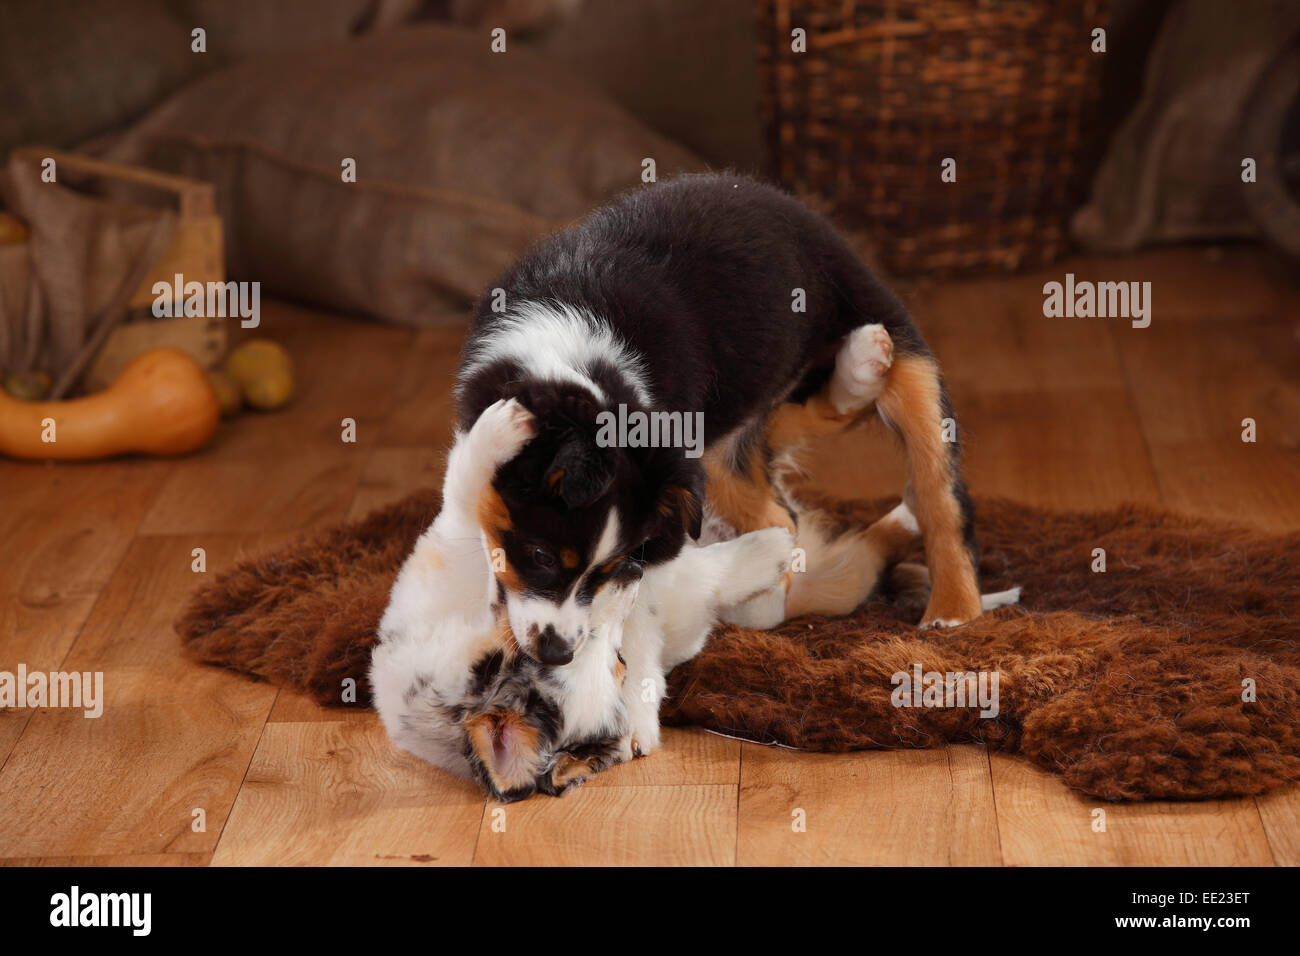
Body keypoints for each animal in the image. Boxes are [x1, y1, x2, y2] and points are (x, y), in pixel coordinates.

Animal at [454, 171, 982, 671]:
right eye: (541, 554)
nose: (556, 652)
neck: (577, 359)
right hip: (722, 442)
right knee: (782, 500)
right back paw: (859, 371)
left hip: (894, 346)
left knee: (936, 493)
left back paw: (952, 610)